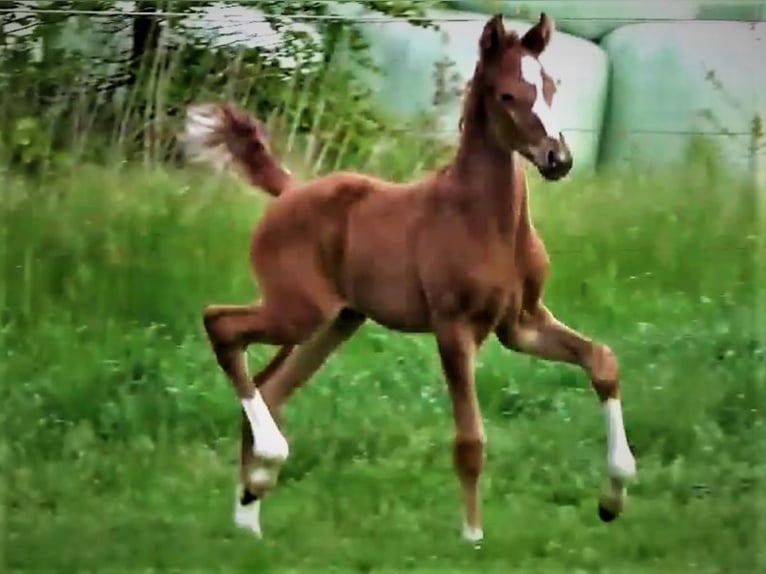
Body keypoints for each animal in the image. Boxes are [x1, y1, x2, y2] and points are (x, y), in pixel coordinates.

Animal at [180, 13, 636, 544]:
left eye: (549, 85)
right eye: (507, 95)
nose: (557, 159)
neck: (488, 222)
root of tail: (289, 191)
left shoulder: (522, 324)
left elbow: (601, 361)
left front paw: (613, 499)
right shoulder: (453, 328)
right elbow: (470, 440)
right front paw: (472, 538)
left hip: (333, 322)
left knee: (268, 386)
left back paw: (249, 515)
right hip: (297, 311)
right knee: (221, 324)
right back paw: (266, 469)